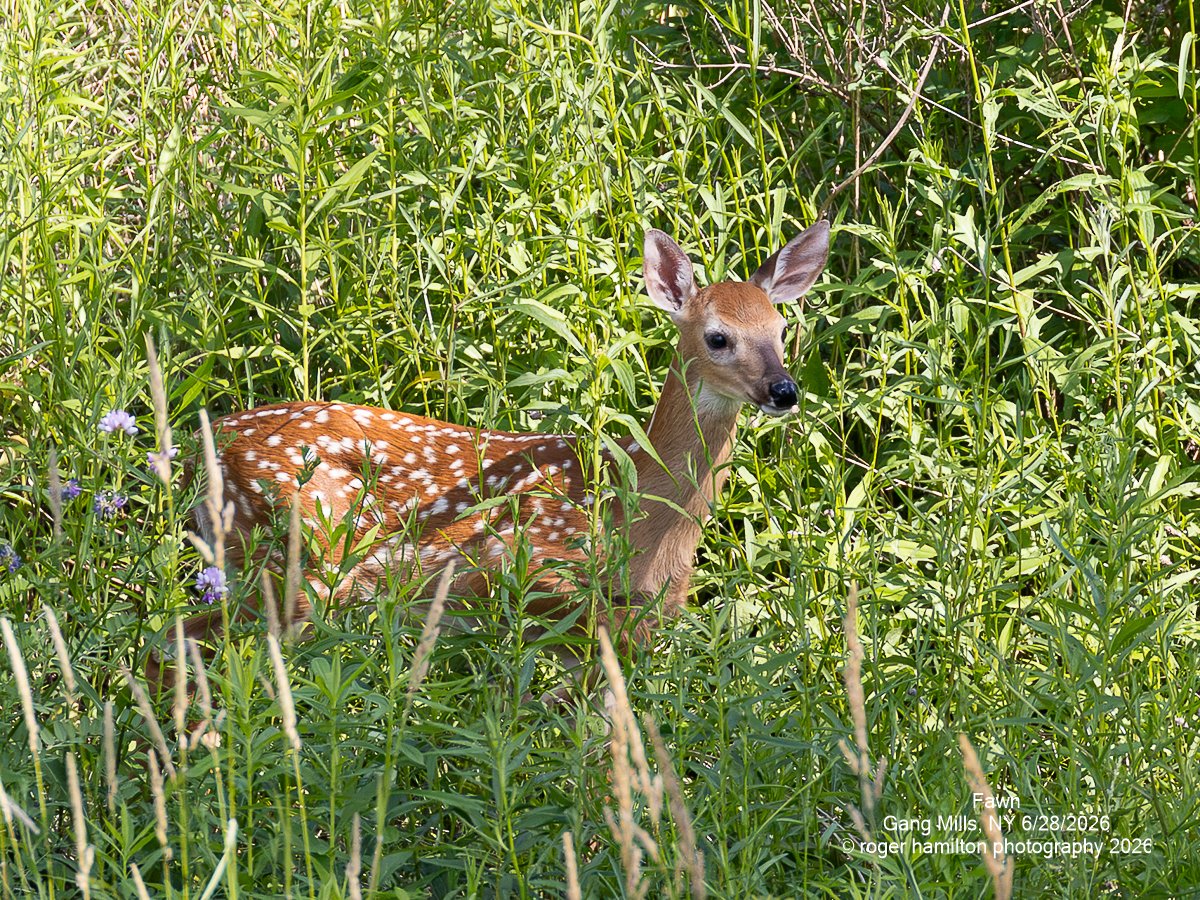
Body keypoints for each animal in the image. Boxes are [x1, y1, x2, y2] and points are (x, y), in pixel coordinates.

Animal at [146, 221, 831, 702]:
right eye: (718, 336)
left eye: (780, 329)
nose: (784, 390)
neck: (636, 516)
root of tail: (203, 446)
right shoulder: (529, 587)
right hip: (296, 562)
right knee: (174, 647)